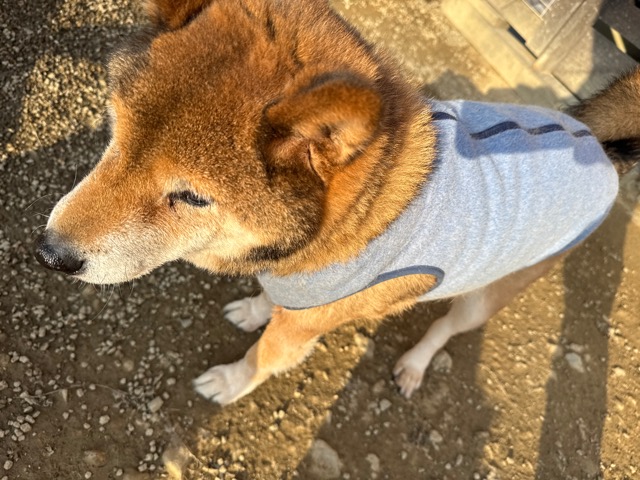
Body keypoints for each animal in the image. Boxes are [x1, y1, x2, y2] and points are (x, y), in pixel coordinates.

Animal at [34, 0, 640, 405]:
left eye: (191, 196)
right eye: (115, 134)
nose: (49, 253)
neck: (343, 223)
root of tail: (599, 146)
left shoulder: (301, 328)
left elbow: (263, 357)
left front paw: (229, 382)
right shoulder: (293, 290)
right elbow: (270, 302)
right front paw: (254, 308)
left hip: (487, 296)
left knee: (446, 328)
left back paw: (415, 364)